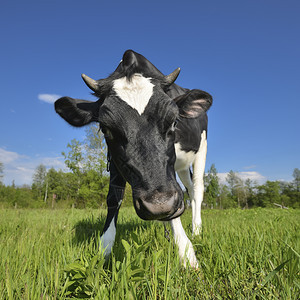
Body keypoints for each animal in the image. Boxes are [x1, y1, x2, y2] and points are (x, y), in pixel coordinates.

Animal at [54, 49, 213, 268]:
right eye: (106, 129)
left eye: (174, 121)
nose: (158, 205)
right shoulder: (114, 160)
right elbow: (114, 198)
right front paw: (104, 250)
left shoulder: (169, 172)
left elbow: (174, 203)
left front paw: (187, 253)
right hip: (182, 166)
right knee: (188, 188)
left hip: (201, 151)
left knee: (197, 189)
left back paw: (196, 230)